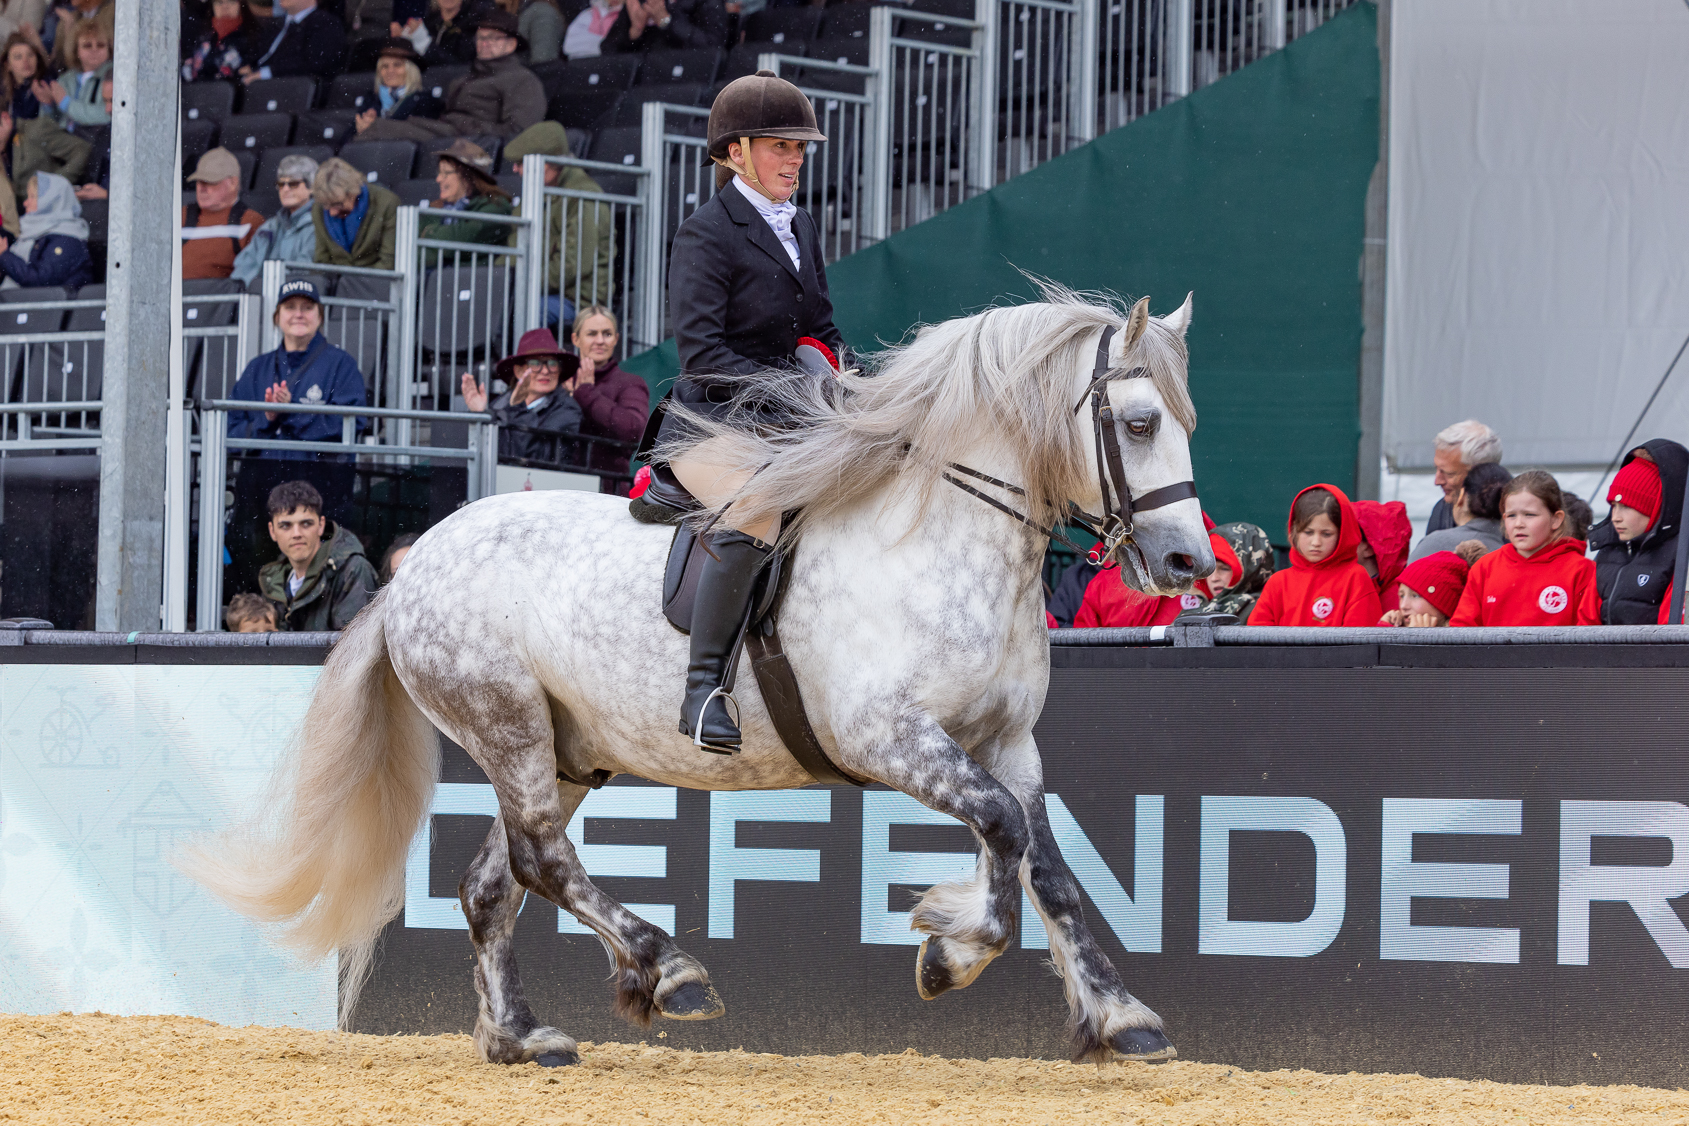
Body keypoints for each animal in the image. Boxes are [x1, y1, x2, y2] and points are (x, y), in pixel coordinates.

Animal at [178, 285, 1214, 1070]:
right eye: (1137, 422)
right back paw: (667, 972)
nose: (1187, 566)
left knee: (491, 883)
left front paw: (1120, 1017)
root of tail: (410, 569)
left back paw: (520, 1037)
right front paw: (948, 952)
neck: (937, 541)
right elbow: (999, 830)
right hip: (507, 723)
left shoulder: (1007, 741)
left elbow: (1048, 867)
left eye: (1184, 422)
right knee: (543, 862)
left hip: (562, 750)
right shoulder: (888, 736)